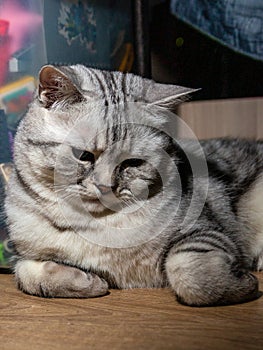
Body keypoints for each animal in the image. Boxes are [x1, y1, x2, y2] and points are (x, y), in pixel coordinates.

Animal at [4, 65, 263, 306]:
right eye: (83, 155)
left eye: (132, 162)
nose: (106, 186)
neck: (96, 224)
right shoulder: (24, 255)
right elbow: (27, 274)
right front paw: (87, 282)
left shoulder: (205, 228)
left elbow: (190, 273)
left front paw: (244, 283)